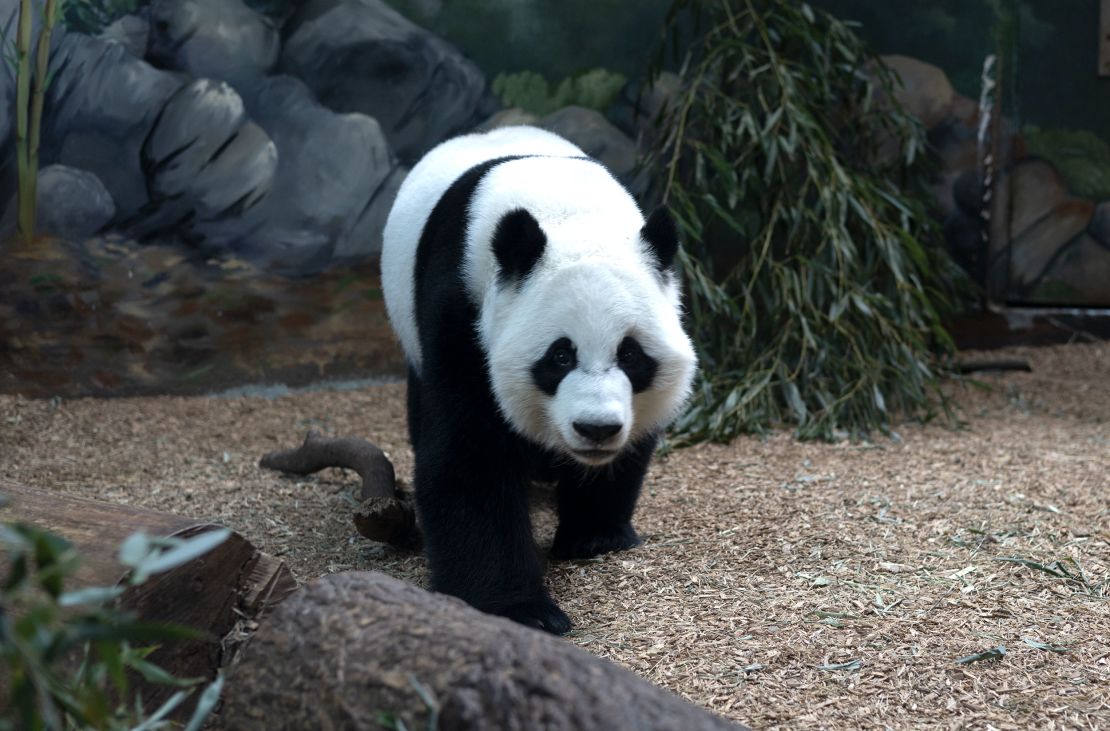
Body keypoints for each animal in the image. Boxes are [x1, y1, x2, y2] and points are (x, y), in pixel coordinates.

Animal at [379, 125, 692, 634]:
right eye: (560, 356)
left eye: (630, 355)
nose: (596, 429)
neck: (565, 210)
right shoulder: (461, 309)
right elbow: (471, 456)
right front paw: (521, 609)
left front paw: (594, 536)